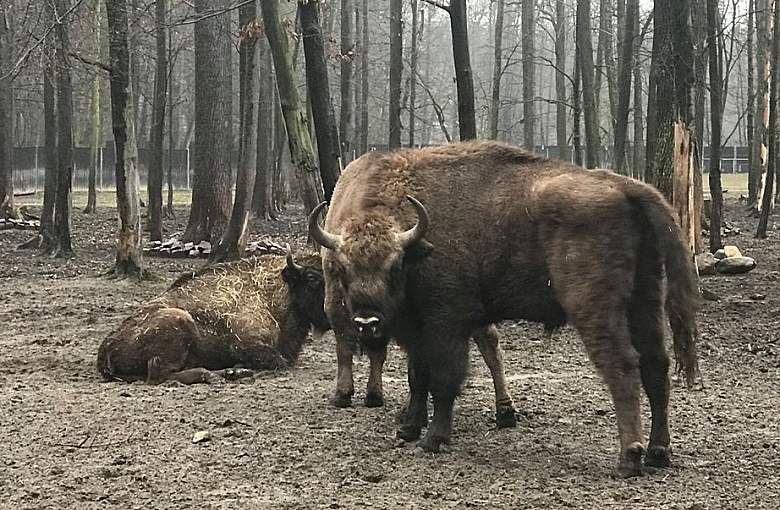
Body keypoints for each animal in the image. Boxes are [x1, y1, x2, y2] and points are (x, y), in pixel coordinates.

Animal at [97, 249, 330, 384]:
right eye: (312, 278)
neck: (271, 292)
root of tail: (106, 348)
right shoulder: (247, 345)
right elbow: (278, 362)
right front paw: (238, 368)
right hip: (179, 321)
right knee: (158, 374)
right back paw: (219, 374)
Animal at [310, 139, 700, 478]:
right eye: (343, 269)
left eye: (394, 266)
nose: (367, 320)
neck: (417, 241)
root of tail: (626, 187)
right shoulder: (416, 330)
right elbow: (418, 377)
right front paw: (408, 429)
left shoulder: (447, 324)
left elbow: (445, 380)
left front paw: (433, 439)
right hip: (645, 298)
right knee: (656, 365)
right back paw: (658, 452)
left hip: (595, 306)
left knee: (622, 365)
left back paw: (629, 457)